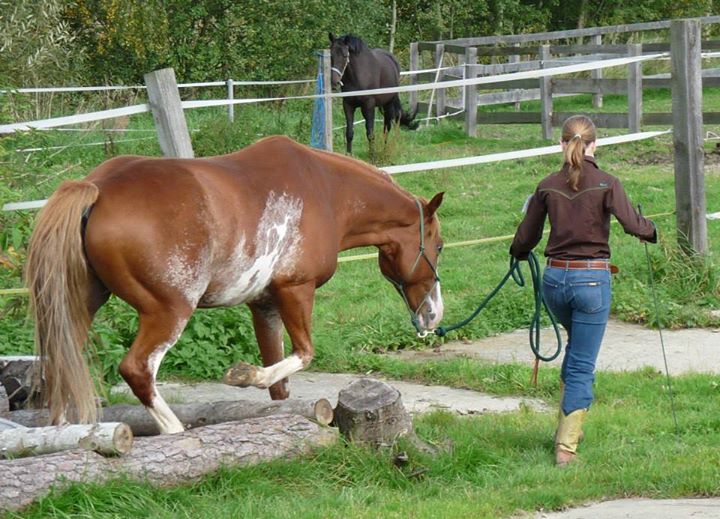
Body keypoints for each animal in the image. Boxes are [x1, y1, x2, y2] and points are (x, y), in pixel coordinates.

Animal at [25, 135, 444, 434]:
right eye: (438, 246)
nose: (434, 315)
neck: (326, 191)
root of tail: (97, 187)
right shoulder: (296, 290)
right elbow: (302, 355)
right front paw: (244, 375)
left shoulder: (264, 305)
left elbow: (280, 384)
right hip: (168, 312)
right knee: (137, 370)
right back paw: (175, 431)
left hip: (80, 306)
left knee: (58, 367)